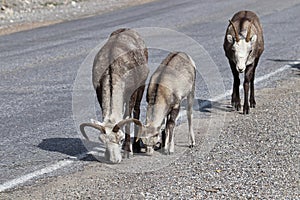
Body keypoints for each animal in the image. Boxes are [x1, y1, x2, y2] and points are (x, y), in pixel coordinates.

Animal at [79, 27, 148, 162]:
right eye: (102, 140)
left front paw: (127, 151)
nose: (114, 160)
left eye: (121, 139)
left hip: (141, 86)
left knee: (137, 110)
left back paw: (137, 146)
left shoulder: (131, 93)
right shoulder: (99, 94)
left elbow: (127, 118)